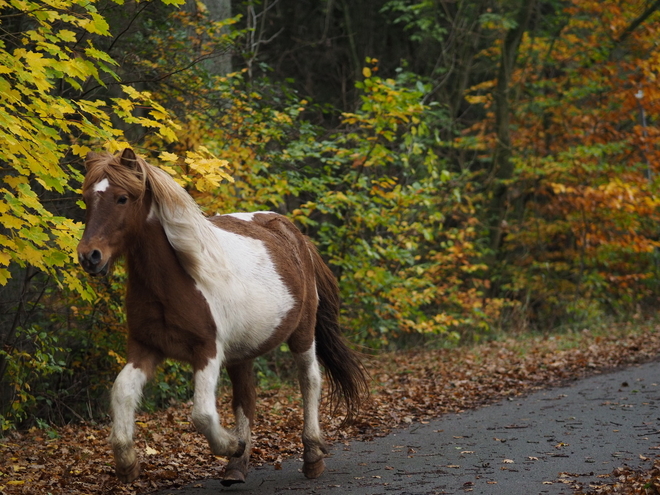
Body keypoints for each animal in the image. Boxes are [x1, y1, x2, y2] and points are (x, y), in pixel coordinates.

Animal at [77, 148, 372, 488]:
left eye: (122, 198)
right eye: (87, 198)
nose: (89, 256)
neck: (176, 278)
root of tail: (295, 235)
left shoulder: (207, 350)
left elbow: (202, 414)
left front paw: (230, 444)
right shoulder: (145, 349)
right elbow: (122, 391)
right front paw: (127, 463)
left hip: (302, 332)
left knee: (309, 380)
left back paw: (311, 455)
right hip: (243, 352)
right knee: (246, 398)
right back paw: (236, 467)